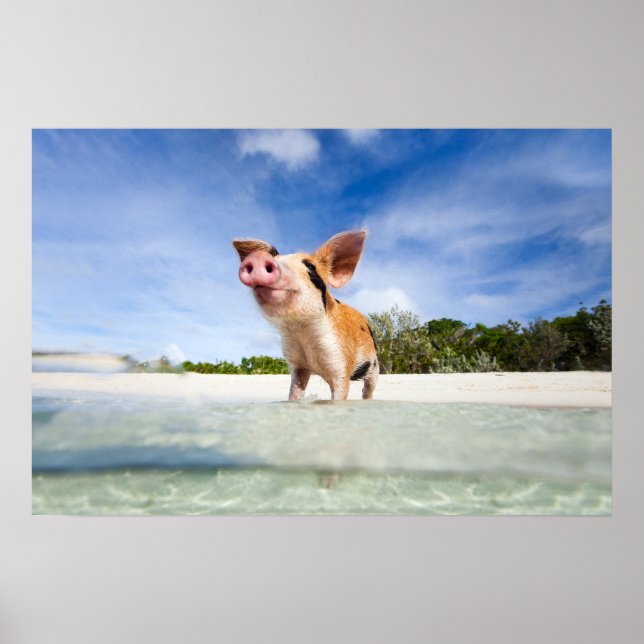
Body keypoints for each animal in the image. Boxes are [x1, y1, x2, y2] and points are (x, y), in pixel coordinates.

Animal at [232, 230, 379, 401]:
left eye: (310, 266)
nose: (258, 258)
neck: (303, 332)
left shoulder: (341, 361)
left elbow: (340, 392)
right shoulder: (298, 365)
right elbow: (295, 390)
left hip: (374, 365)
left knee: (368, 388)